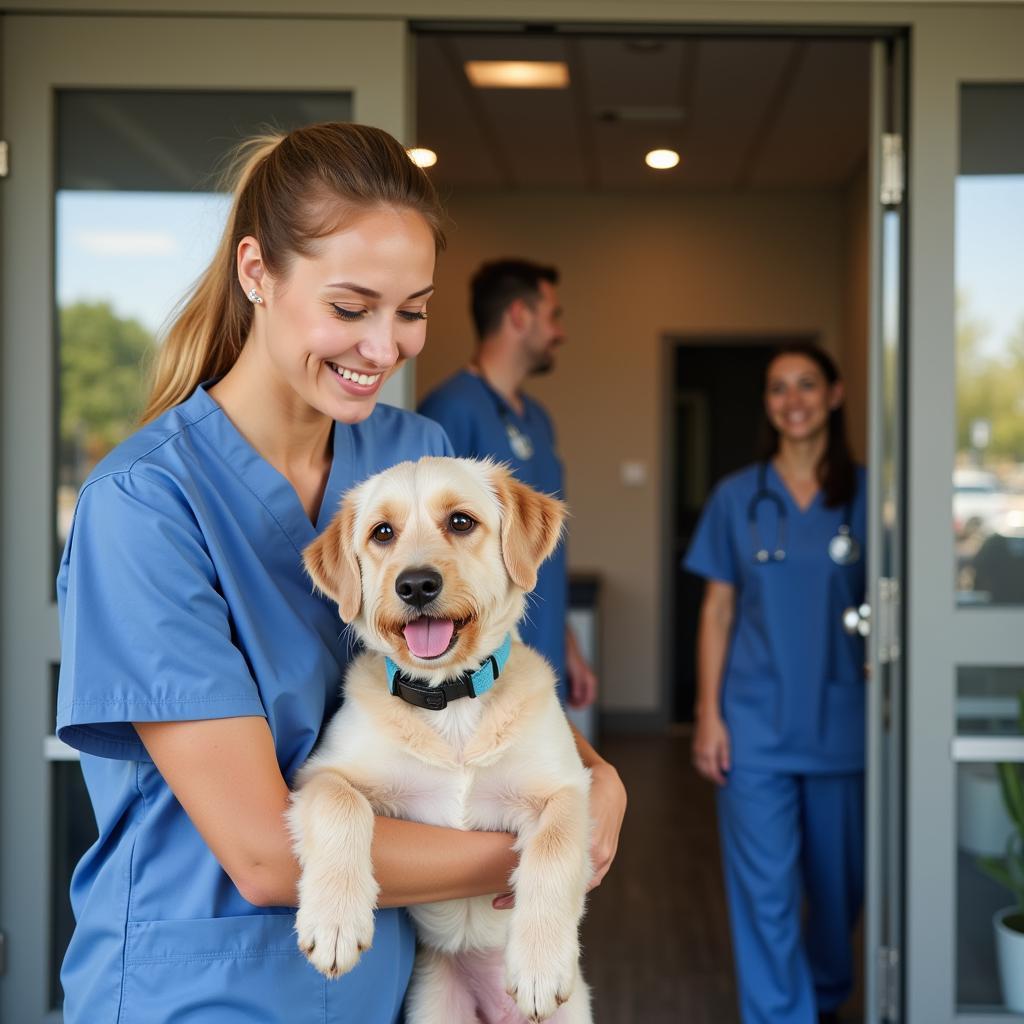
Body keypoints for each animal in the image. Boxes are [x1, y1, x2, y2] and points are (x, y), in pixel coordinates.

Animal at [286, 458, 593, 1024]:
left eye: (461, 522)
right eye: (382, 533)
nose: (416, 586)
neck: (450, 700)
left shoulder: (568, 788)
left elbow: (554, 848)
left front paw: (539, 965)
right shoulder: (321, 774)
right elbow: (341, 804)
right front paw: (335, 921)